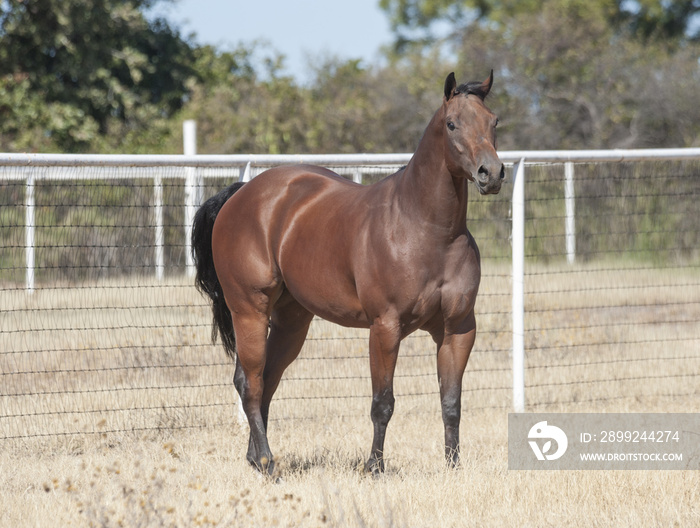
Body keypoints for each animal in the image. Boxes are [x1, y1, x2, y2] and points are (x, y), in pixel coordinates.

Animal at [194, 71, 504, 474]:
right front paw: (374, 467)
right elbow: (383, 403)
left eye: (493, 122)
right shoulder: (385, 327)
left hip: (292, 322)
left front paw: (453, 468)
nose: (491, 173)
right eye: (452, 124)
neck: (428, 230)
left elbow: (451, 403)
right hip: (249, 311)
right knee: (251, 383)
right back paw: (266, 461)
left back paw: (256, 458)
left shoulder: (458, 330)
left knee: (267, 380)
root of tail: (241, 194)